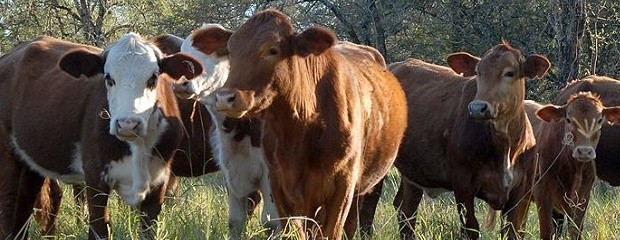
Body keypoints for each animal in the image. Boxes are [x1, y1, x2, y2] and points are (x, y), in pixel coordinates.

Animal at [0, 34, 201, 240]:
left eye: (153, 77)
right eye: (108, 77)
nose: (127, 123)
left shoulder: (159, 182)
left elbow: (149, 231)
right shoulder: (95, 178)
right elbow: (99, 230)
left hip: (30, 166)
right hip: (7, 157)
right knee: (8, 211)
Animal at [211, 8, 410, 240]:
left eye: (272, 50)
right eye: (231, 51)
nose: (225, 98)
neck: (298, 130)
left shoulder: (343, 186)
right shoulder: (278, 184)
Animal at [382, 42, 552, 239]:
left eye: (509, 73)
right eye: (478, 72)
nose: (478, 108)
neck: (505, 147)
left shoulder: (521, 190)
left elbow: (512, 231)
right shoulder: (463, 184)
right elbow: (471, 228)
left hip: (413, 172)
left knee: (405, 209)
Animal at [498, 91, 620, 238]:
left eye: (599, 120)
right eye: (568, 119)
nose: (584, 151)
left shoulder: (582, 198)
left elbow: (575, 231)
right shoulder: (543, 194)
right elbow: (547, 232)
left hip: (523, 197)